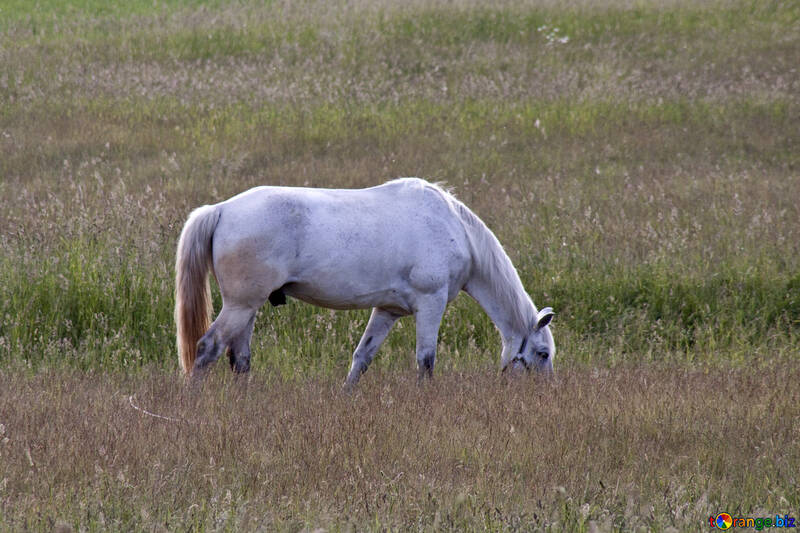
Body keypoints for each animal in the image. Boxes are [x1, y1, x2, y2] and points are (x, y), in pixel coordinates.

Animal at [173, 178, 556, 382]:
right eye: (543, 353)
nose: (544, 393)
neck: (456, 230)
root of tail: (221, 209)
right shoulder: (430, 304)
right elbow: (426, 360)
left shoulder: (387, 311)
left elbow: (362, 357)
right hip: (240, 306)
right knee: (207, 348)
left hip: (248, 309)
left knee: (240, 359)